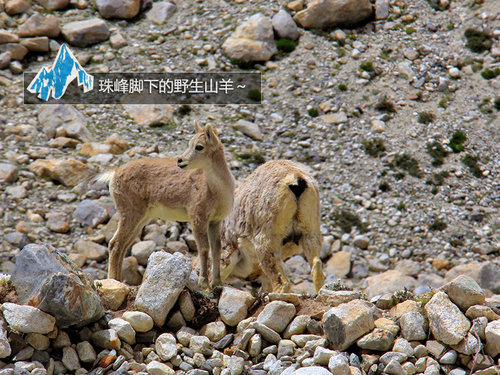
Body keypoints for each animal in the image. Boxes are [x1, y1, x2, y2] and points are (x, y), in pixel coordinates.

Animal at [96, 123, 235, 290]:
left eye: (199, 146)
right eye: (190, 144)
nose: (180, 161)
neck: (217, 190)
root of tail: (115, 174)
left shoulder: (215, 221)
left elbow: (216, 249)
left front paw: (217, 283)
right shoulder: (198, 217)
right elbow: (204, 248)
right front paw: (204, 283)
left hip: (141, 218)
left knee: (122, 245)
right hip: (130, 213)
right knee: (115, 244)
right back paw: (114, 281)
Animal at [220, 161, 324, 294]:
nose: (249, 278)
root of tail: (296, 178)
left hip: (266, 240)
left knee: (282, 283)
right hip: (310, 231)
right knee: (316, 268)